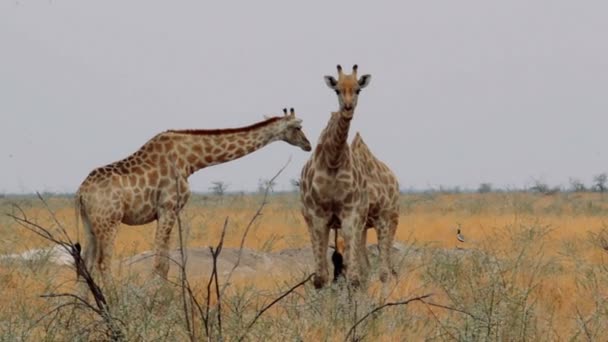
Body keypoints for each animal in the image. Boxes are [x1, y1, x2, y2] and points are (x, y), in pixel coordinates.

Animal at [76, 108, 312, 282]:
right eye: (298, 127)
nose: (308, 145)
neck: (191, 160)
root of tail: (81, 193)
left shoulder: (167, 213)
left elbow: (165, 264)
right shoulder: (168, 208)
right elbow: (160, 264)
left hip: (90, 224)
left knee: (85, 265)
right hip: (110, 222)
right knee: (103, 264)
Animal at [300, 65, 370, 288]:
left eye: (358, 90)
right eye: (336, 90)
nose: (347, 108)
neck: (333, 160)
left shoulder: (350, 214)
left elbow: (353, 277)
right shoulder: (318, 216)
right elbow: (320, 278)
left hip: (357, 220)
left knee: (354, 269)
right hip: (315, 221)